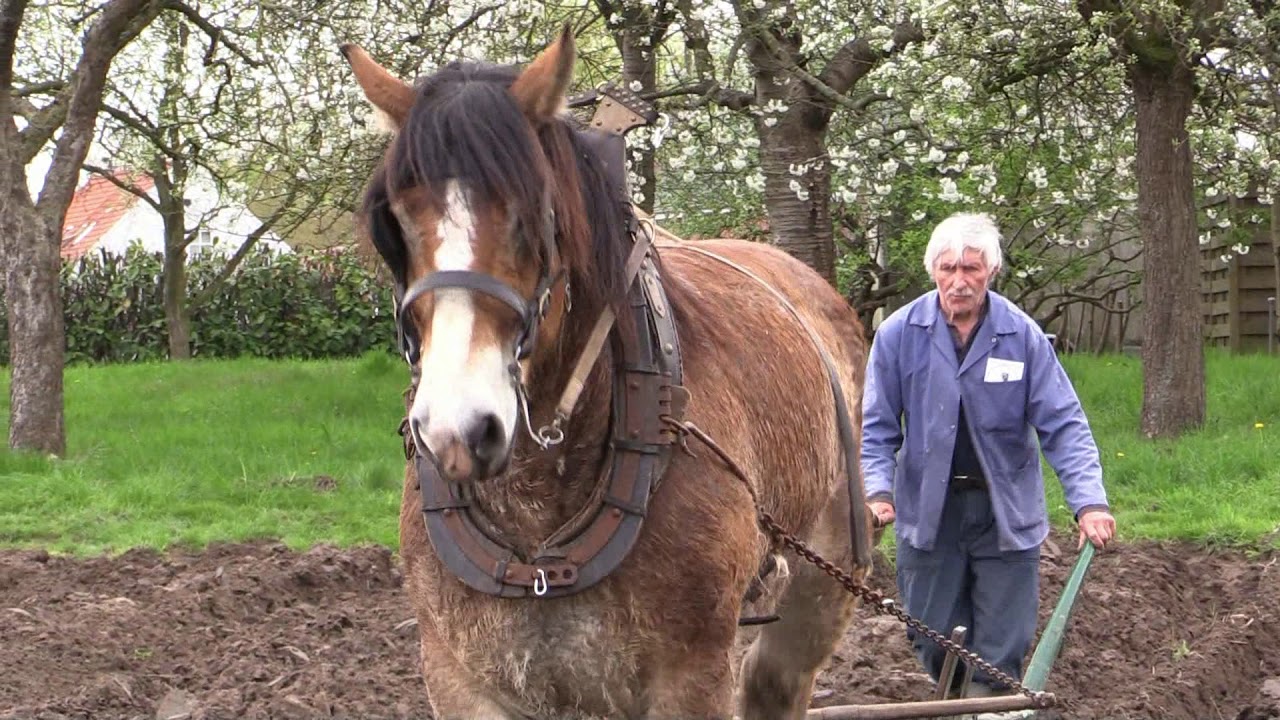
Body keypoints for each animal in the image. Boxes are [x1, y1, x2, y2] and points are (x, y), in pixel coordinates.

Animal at [340, 26, 874, 720]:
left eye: (533, 215)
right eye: (396, 223)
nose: (459, 431)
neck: (537, 516)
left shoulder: (691, 678)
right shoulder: (461, 678)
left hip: (822, 581)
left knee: (777, 679)